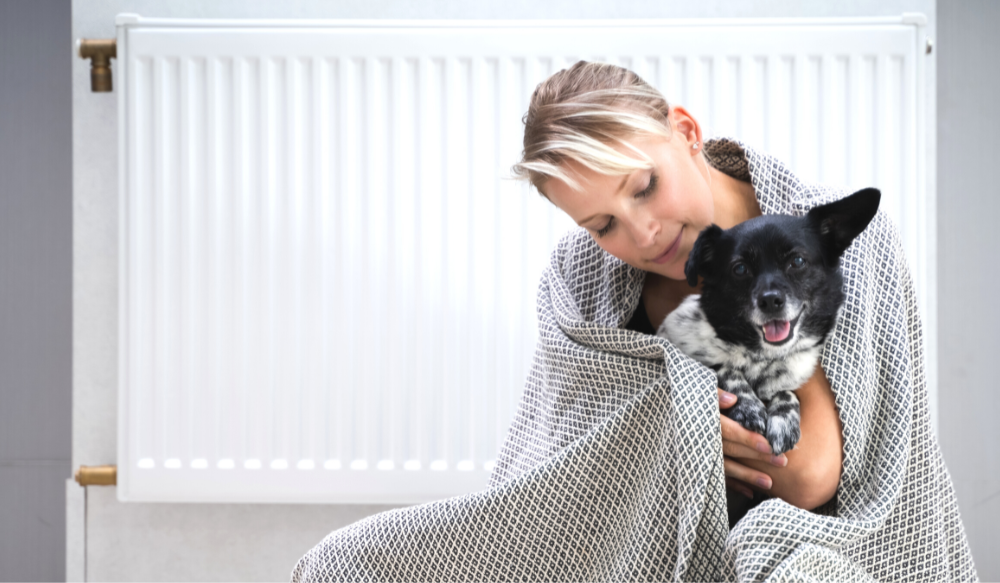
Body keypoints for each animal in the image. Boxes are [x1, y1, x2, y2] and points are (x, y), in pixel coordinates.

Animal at [660, 188, 880, 456]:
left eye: (797, 261)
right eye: (740, 268)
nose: (770, 301)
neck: (762, 357)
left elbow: (786, 392)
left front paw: (784, 420)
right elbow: (726, 369)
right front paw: (748, 406)